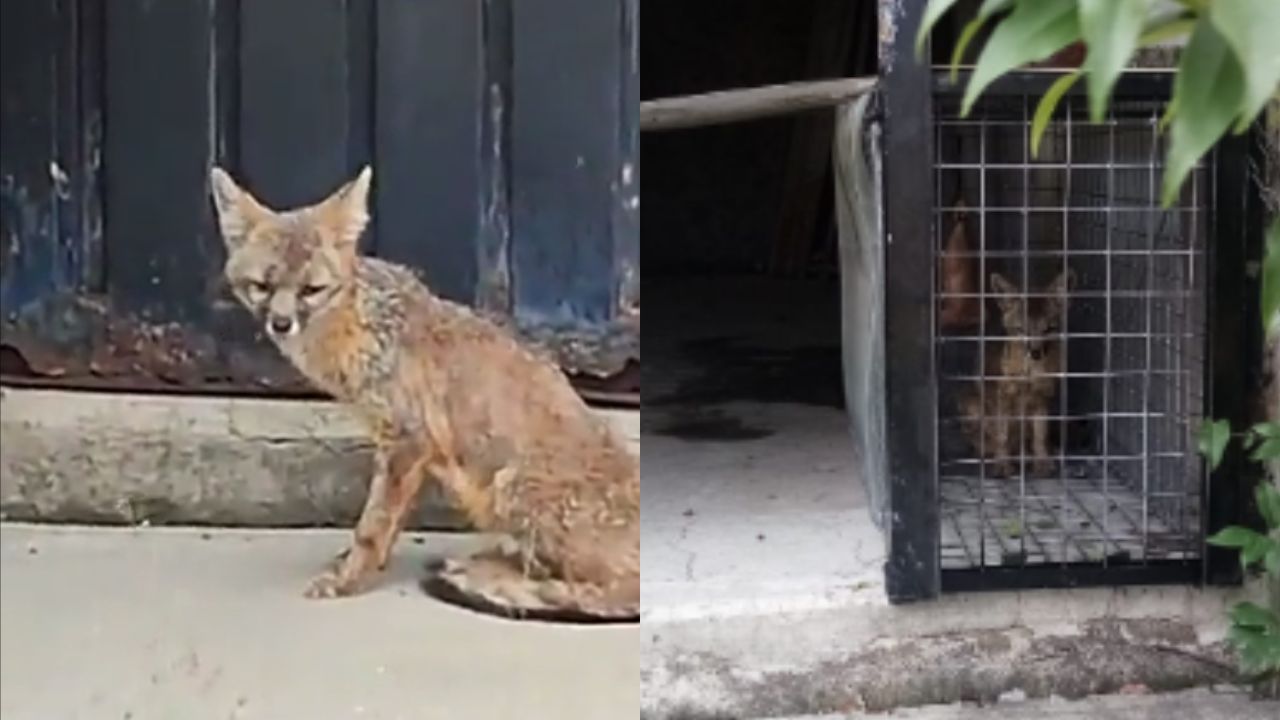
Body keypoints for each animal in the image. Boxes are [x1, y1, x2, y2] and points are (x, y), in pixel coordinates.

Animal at [208, 165, 640, 620]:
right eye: (262, 286)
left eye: (312, 289)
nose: (281, 324)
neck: (360, 328)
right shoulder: (410, 451)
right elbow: (389, 524)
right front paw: (361, 564)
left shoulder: (406, 441)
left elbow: (373, 526)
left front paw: (347, 579)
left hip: (511, 489)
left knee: (592, 588)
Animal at [957, 265, 1075, 476]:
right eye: (1022, 330)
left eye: (1049, 328)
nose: (1035, 353)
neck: (1030, 372)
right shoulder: (1000, 399)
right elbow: (1001, 436)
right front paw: (1002, 463)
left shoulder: (1042, 399)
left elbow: (1040, 435)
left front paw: (1042, 461)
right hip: (972, 404)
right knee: (986, 441)